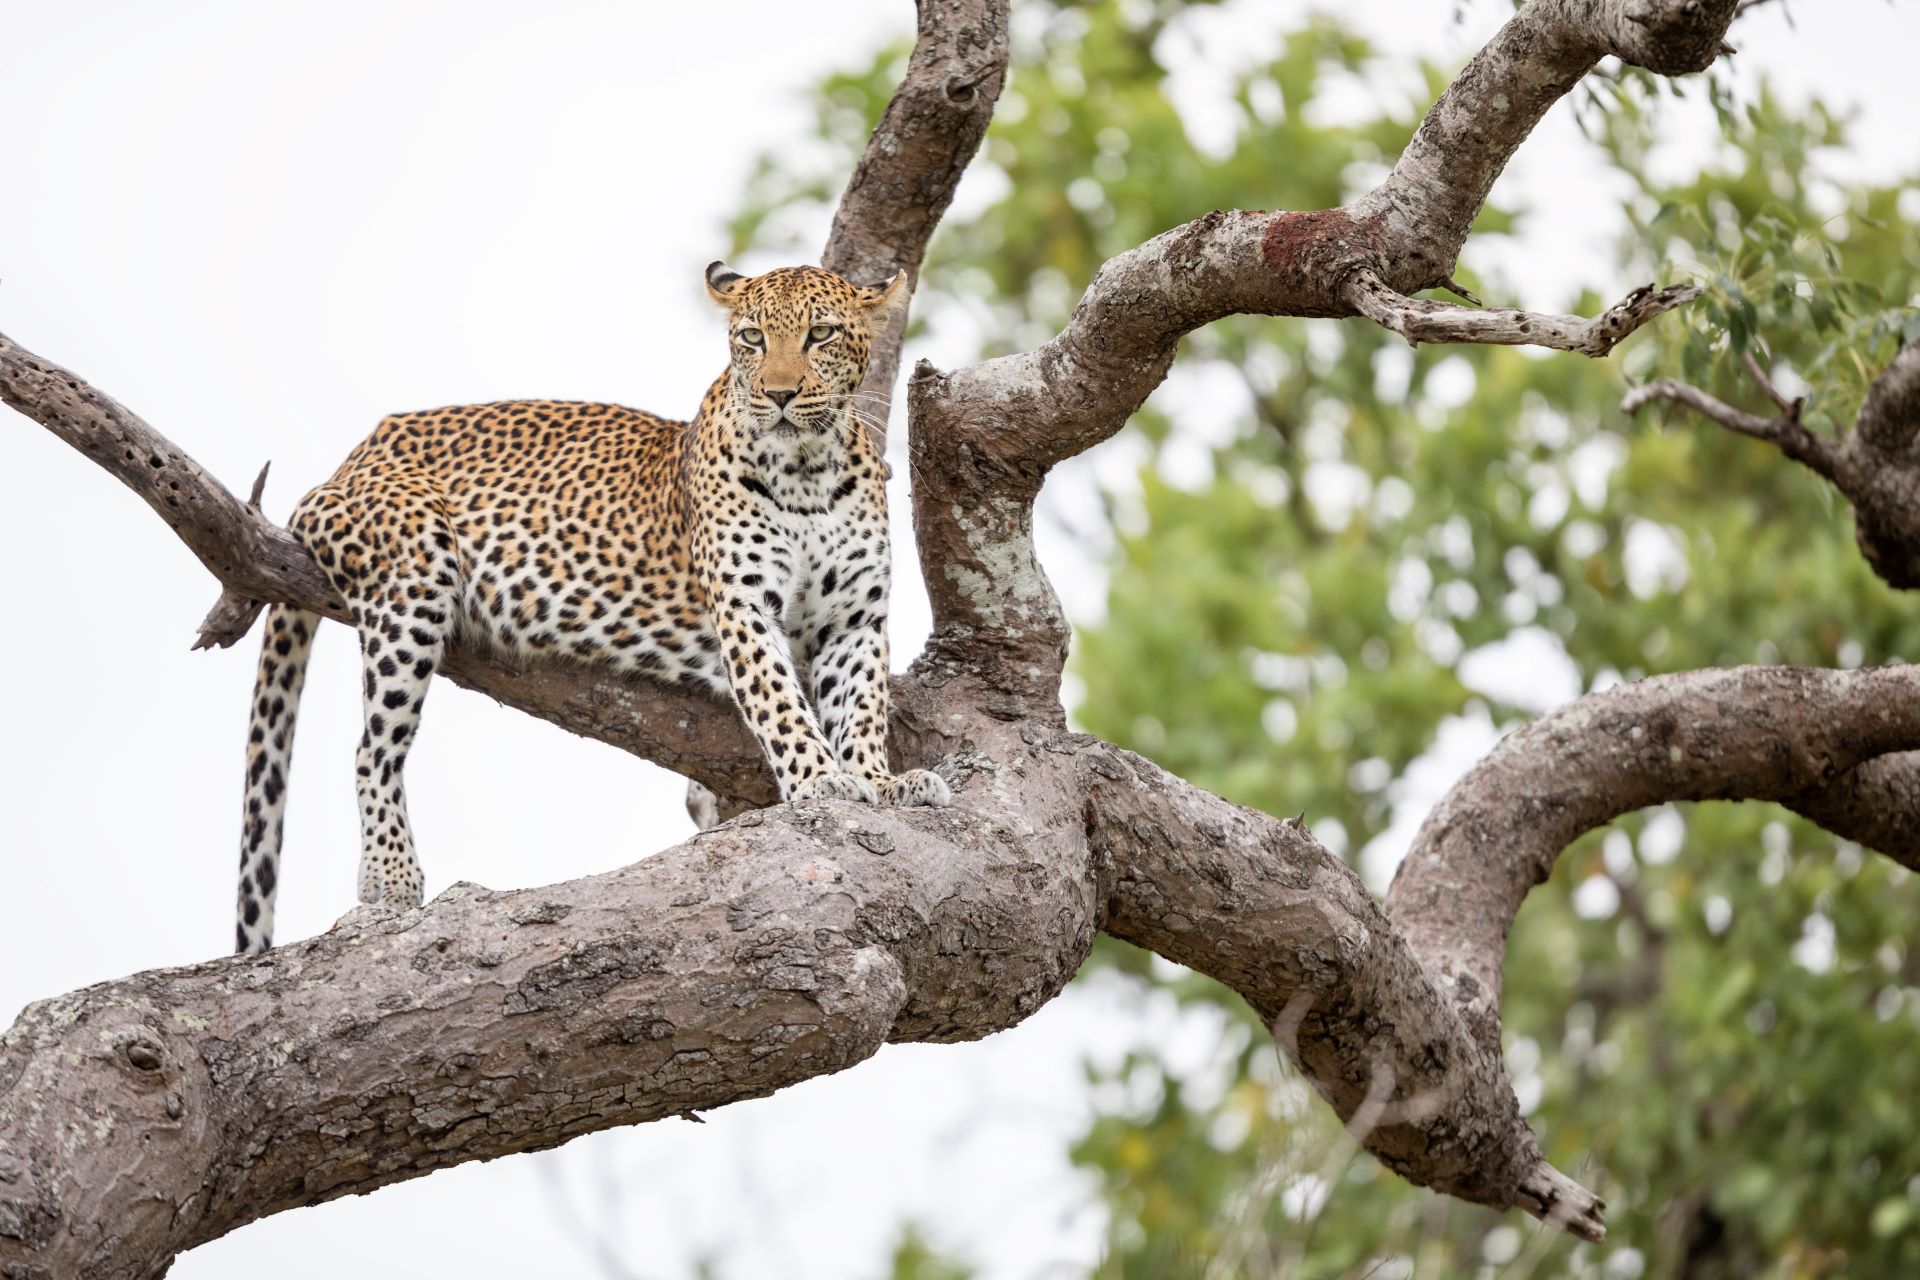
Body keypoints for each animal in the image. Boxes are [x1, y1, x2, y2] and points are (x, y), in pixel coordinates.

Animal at [232, 264, 952, 955]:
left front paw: (879, 779)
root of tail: (349, 460)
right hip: (413, 572)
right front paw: (821, 781)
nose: (776, 394)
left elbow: (861, 707)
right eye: (752, 338)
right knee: (372, 749)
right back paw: (392, 876)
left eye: (820, 334)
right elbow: (780, 704)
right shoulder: (744, 607)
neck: (809, 470)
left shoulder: (854, 620)